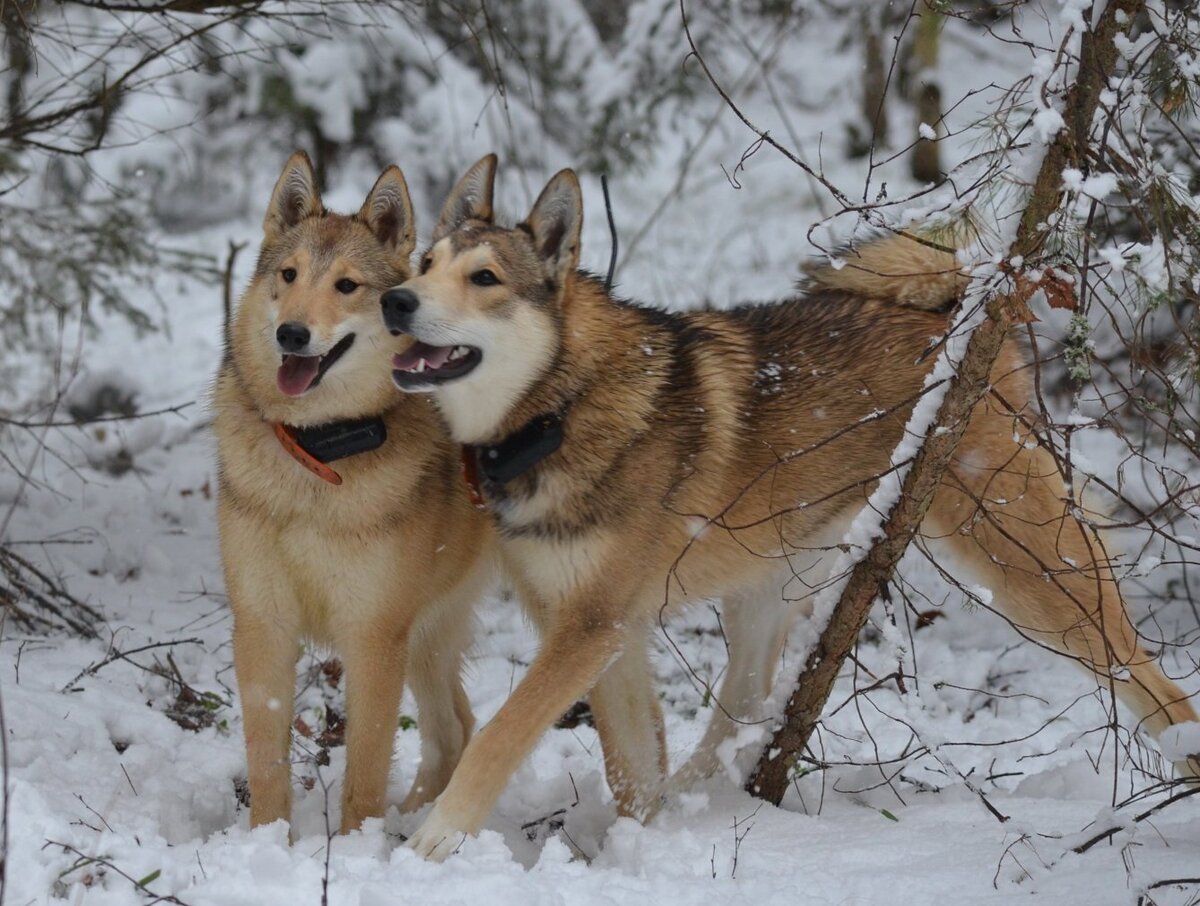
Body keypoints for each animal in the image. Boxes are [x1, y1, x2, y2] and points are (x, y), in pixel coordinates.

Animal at [214, 150, 492, 835]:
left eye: (346, 286)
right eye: (288, 275)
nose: (290, 334)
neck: (317, 459)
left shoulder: (373, 636)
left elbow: (364, 769)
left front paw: (358, 844)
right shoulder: (262, 625)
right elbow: (267, 761)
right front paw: (267, 843)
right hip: (427, 637)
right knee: (455, 726)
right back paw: (415, 819)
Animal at [379, 153, 1195, 859]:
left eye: (484, 277)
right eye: (423, 266)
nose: (395, 300)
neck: (560, 407)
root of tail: (961, 314)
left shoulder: (587, 629)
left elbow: (499, 737)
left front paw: (432, 845)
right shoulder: (605, 630)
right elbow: (630, 768)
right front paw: (633, 853)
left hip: (1031, 570)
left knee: (1150, 679)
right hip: (764, 594)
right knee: (740, 711)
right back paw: (708, 807)